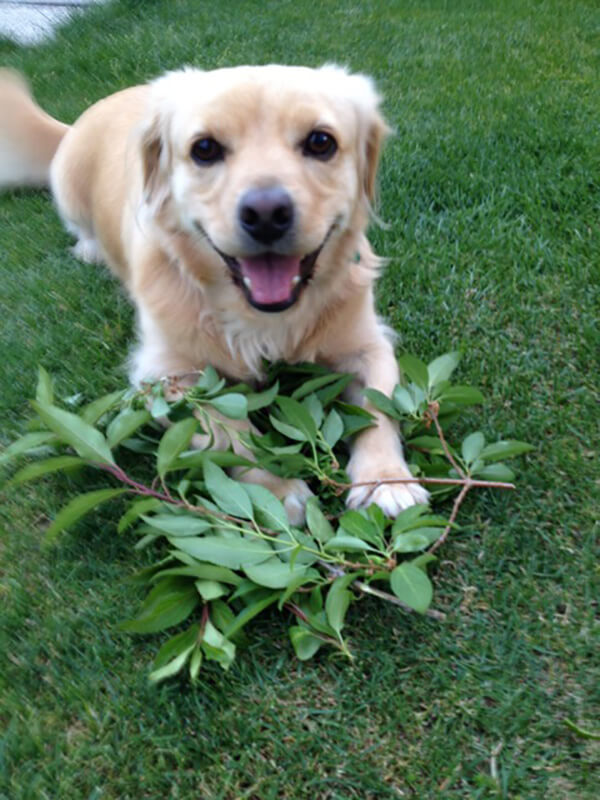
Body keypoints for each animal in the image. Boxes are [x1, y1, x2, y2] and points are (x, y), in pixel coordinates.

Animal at [0, 64, 428, 522]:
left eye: (320, 141)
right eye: (204, 148)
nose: (266, 214)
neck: (263, 317)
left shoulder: (369, 344)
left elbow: (380, 409)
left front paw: (387, 480)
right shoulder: (164, 376)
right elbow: (230, 433)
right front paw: (274, 491)